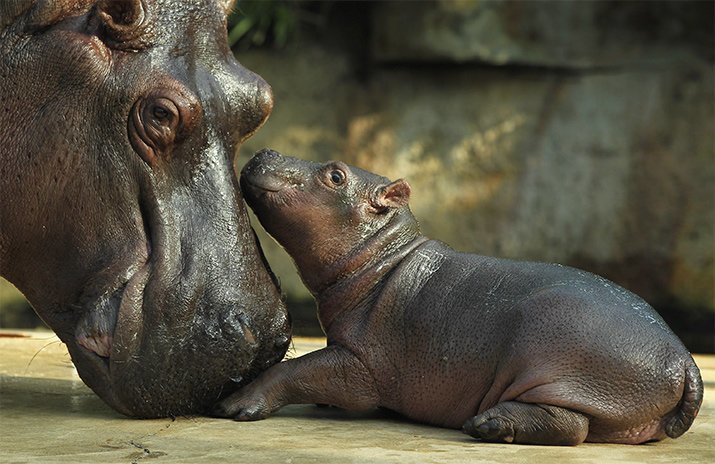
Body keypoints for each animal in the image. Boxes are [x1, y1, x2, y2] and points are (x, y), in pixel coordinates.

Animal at [214, 150, 704, 446]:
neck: (383, 257)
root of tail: (683, 358)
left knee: (573, 426)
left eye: (336, 174)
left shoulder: (362, 366)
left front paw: (235, 404)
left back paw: (488, 424)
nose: (265, 152)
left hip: (556, 361)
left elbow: (300, 368)